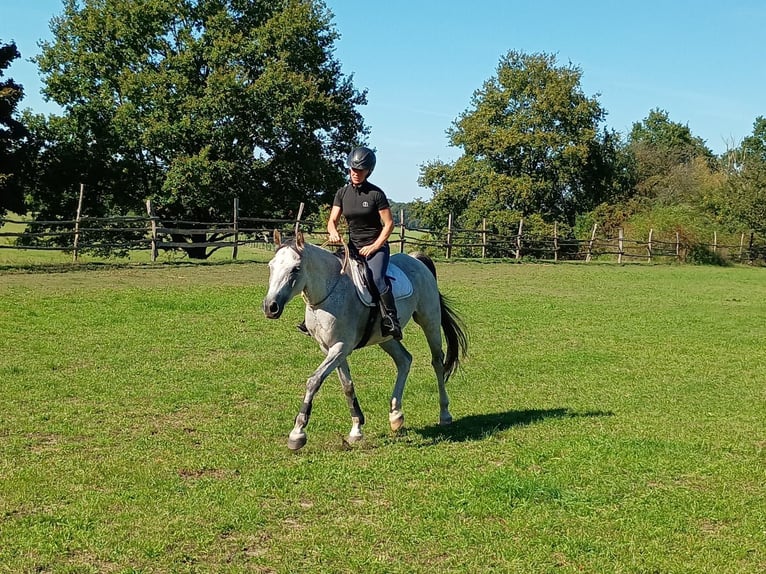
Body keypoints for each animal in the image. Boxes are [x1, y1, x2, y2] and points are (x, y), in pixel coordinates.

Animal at [262, 233, 468, 450]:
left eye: (296, 268)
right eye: (271, 266)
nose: (270, 307)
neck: (330, 291)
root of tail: (416, 260)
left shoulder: (341, 347)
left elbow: (314, 381)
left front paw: (297, 433)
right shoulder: (330, 349)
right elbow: (347, 386)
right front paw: (356, 429)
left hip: (429, 321)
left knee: (437, 362)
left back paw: (444, 414)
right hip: (386, 337)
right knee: (404, 360)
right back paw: (396, 415)